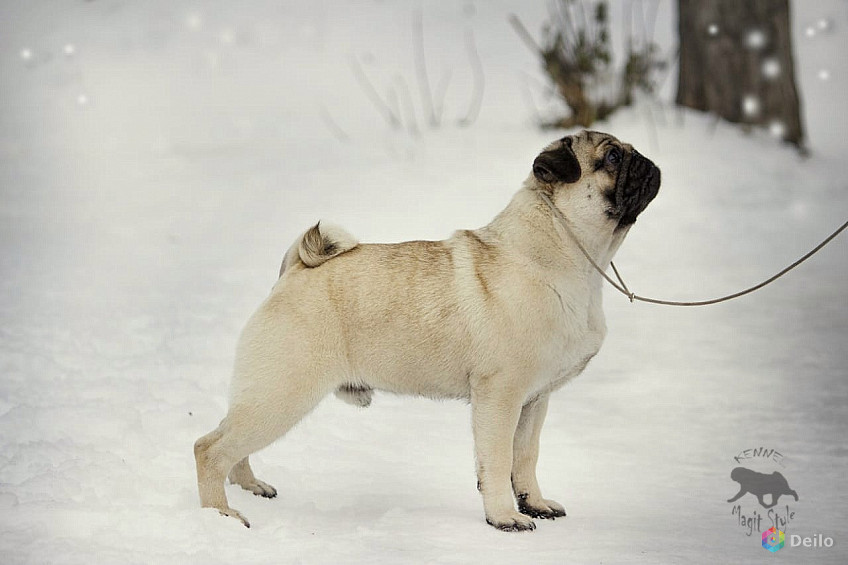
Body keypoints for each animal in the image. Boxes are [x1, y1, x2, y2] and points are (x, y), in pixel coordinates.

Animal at [195, 130, 660, 532]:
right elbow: (497, 460)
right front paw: (504, 517)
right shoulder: (501, 396)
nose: (647, 162)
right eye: (612, 158)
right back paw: (221, 515)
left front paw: (535, 505)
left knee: (228, 438)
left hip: (267, 391)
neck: (568, 254)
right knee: (210, 449)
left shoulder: (534, 400)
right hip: (282, 393)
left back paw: (249, 487)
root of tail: (295, 272)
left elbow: (525, 458)